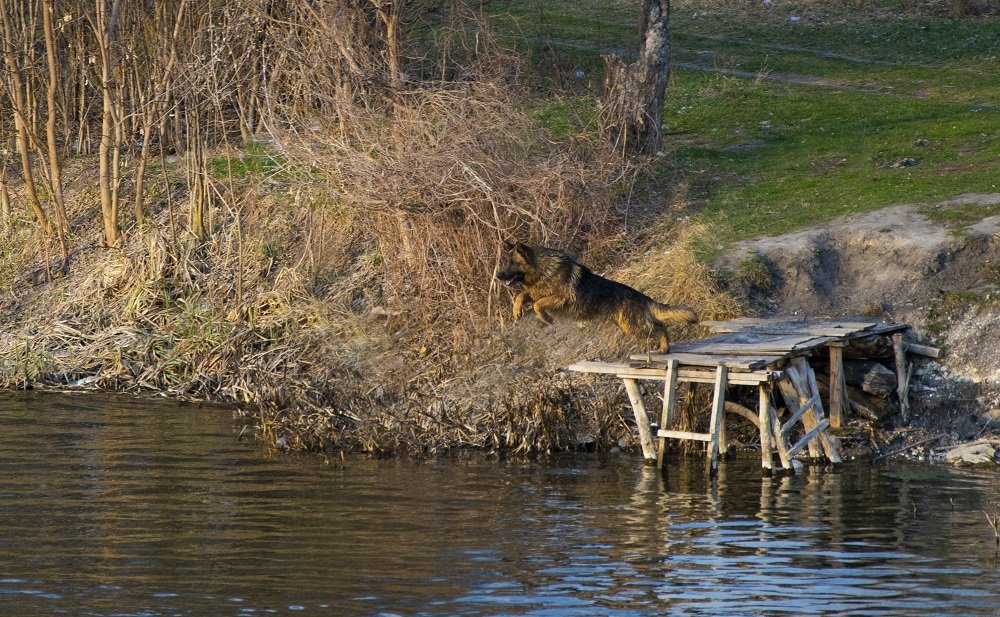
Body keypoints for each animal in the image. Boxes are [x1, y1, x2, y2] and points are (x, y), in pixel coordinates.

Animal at [496, 242, 700, 352]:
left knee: (661, 327)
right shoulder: (535, 291)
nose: (498, 275)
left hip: (634, 326)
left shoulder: (562, 297)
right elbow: (523, 295)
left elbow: (538, 303)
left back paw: (664, 347)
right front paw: (516, 310)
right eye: (506, 262)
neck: (541, 270)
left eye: (512, 262)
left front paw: (545, 318)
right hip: (629, 327)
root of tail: (643, 298)